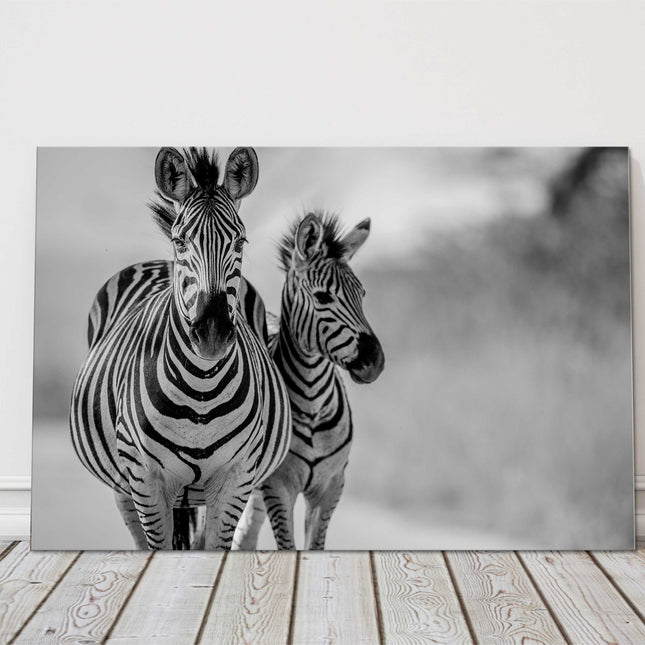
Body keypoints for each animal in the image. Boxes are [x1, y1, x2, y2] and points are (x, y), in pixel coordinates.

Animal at [70, 147, 292, 550]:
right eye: (181, 242)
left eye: (240, 242)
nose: (212, 334)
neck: (201, 389)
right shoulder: (146, 480)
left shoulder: (236, 479)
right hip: (124, 489)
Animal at [233, 211, 384, 550]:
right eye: (322, 297)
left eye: (362, 295)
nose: (375, 362)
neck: (313, 404)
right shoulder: (278, 486)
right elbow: (288, 548)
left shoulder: (330, 486)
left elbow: (315, 546)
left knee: (244, 535)